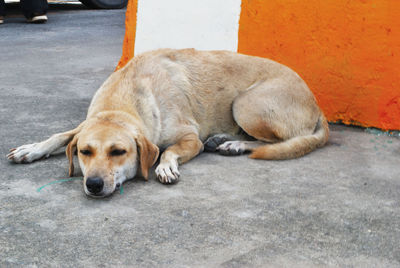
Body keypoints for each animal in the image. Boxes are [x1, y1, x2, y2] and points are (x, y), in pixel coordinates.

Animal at [7, 49, 328, 198]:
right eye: (85, 153)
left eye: (118, 152)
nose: (94, 185)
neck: (126, 97)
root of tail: (317, 104)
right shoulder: (85, 125)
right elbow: (61, 135)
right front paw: (31, 149)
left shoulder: (190, 138)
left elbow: (169, 150)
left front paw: (165, 166)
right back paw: (224, 139)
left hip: (245, 104)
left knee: (276, 140)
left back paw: (234, 144)